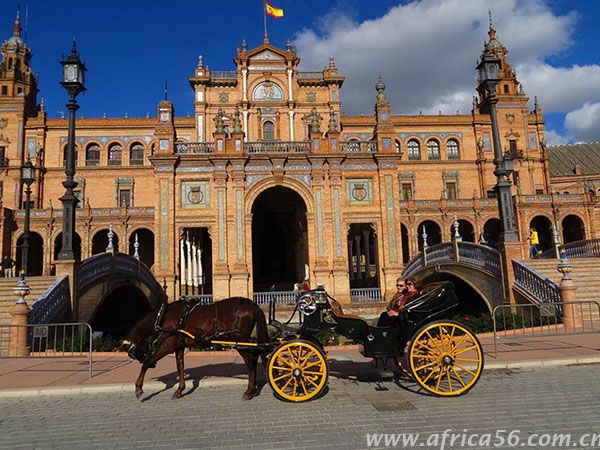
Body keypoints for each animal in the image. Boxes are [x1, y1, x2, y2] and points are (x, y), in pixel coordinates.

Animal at [126, 298, 270, 400]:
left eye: (134, 353)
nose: (136, 355)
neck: (162, 316)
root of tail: (253, 305)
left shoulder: (168, 344)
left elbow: (147, 362)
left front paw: (138, 388)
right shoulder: (179, 346)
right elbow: (180, 367)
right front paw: (180, 390)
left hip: (239, 339)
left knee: (250, 361)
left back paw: (249, 390)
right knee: (254, 357)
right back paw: (253, 388)